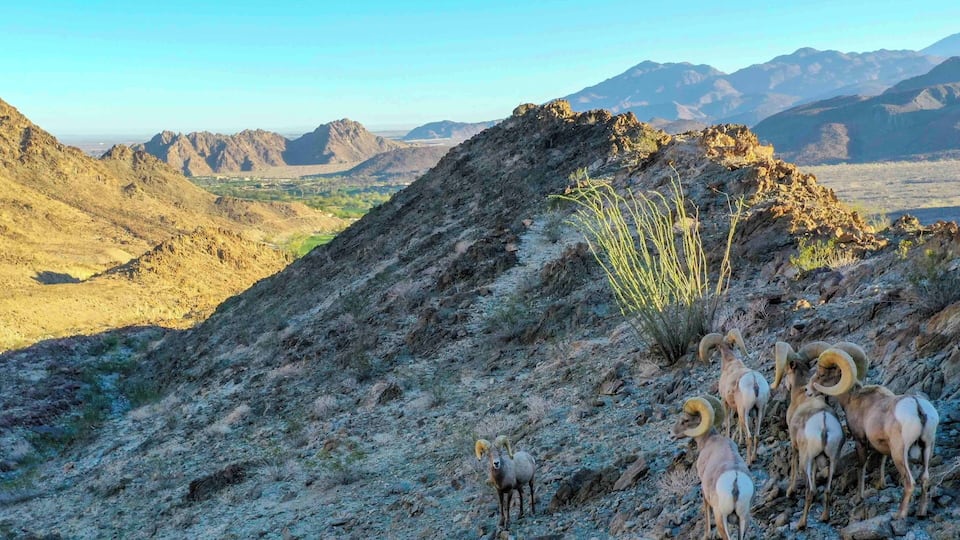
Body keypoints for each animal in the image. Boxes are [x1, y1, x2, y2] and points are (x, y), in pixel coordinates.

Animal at [672, 395, 754, 540]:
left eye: (685, 420)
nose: (672, 433)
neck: (709, 441)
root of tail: (736, 482)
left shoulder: (703, 488)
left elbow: (706, 508)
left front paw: (706, 535)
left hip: (721, 517)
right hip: (744, 519)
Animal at [700, 329, 770, 464]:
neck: (729, 363)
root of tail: (754, 380)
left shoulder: (726, 402)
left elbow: (728, 422)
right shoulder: (737, 407)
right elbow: (738, 425)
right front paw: (738, 440)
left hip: (745, 412)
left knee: (750, 436)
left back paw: (749, 461)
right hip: (759, 411)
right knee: (757, 436)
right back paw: (754, 457)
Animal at [772, 341, 845, 529]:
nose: (786, 385)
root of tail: (824, 425)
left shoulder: (794, 445)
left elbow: (793, 466)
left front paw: (790, 491)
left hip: (808, 459)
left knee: (811, 490)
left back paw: (801, 524)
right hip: (833, 460)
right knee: (827, 489)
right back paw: (824, 517)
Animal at [808, 347, 940, 519]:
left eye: (822, 374)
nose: (807, 390)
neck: (852, 399)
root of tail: (918, 407)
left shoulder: (860, 441)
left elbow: (861, 466)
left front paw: (859, 497)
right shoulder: (882, 445)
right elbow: (882, 461)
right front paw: (881, 484)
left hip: (900, 453)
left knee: (910, 482)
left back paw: (899, 515)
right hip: (927, 448)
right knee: (925, 479)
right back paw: (921, 513)